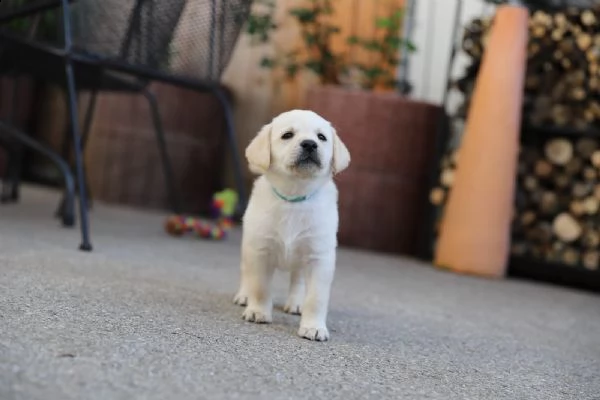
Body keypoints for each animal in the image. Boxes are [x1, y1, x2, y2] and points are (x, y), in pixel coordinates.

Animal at [232, 108, 350, 340]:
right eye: (287, 135)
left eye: (321, 137)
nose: (310, 144)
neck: (295, 196)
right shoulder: (260, 250)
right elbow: (260, 286)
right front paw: (258, 311)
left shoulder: (319, 257)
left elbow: (316, 298)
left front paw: (313, 327)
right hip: (247, 246)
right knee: (246, 272)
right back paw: (244, 295)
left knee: (298, 280)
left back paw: (296, 303)